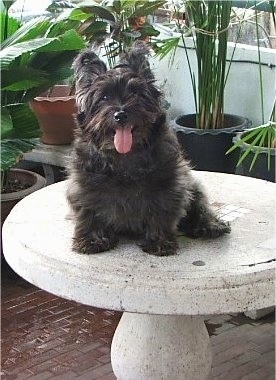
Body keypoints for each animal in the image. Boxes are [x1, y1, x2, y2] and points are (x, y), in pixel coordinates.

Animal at [67, 43, 231, 255]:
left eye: (135, 93)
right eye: (104, 97)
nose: (121, 114)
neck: (124, 156)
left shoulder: (169, 185)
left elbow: (160, 211)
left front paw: (159, 242)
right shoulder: (85, 186)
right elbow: (91, 212)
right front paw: (92, 240)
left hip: (192, 184)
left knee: (201, 205)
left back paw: (210, 225)